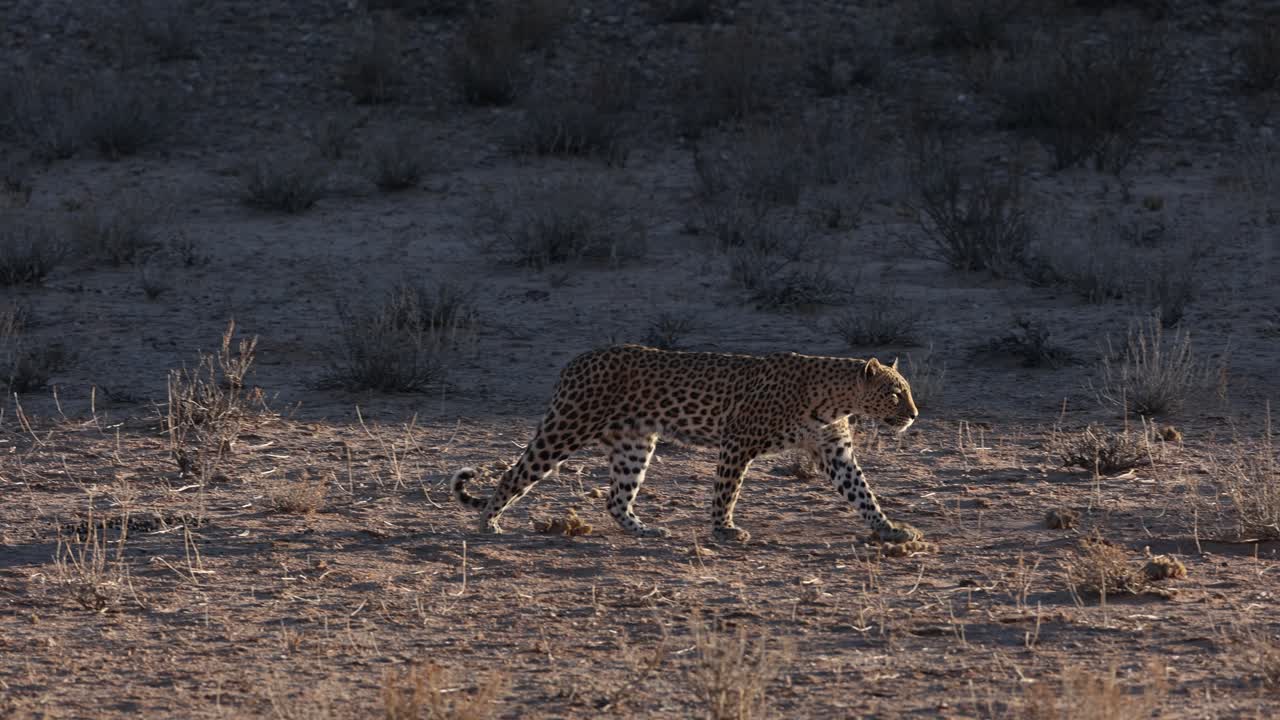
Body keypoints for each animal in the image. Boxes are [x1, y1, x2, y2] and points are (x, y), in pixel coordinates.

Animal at [450, 345, 923, 543]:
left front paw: (890, 529)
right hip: (567, 427)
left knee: (616, 498)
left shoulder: (835, 454)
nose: (915, 414)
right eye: (894, 393)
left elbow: (863, 493)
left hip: (635, 443)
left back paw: (645, 529)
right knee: (515, 474)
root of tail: (575, 361)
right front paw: (725, 529)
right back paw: (488, 523)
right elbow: (726, 491)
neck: (834, 398)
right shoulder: (737, 441)